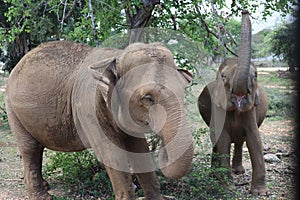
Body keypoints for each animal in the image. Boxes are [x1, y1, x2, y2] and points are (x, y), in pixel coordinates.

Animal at [5, 39, 195, 199]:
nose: (163, 151)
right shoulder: (87, 109)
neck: (116, 57)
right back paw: (42, 195)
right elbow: (111, 155)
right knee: (30, 148)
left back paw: (44, 185)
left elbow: (139, 149)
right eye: (148, 98)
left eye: (183, 90)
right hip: (12, 109)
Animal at [198, 10, 268, 195]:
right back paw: (214, 174)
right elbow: (222, 139)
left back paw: (238, 171)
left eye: (255, 75)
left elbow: (255, 139)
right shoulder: (218, 107)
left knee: (240, 141)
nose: (244, 11)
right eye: (223, 77)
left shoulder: (251, 111)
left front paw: (260, 192)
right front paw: (226, 188)